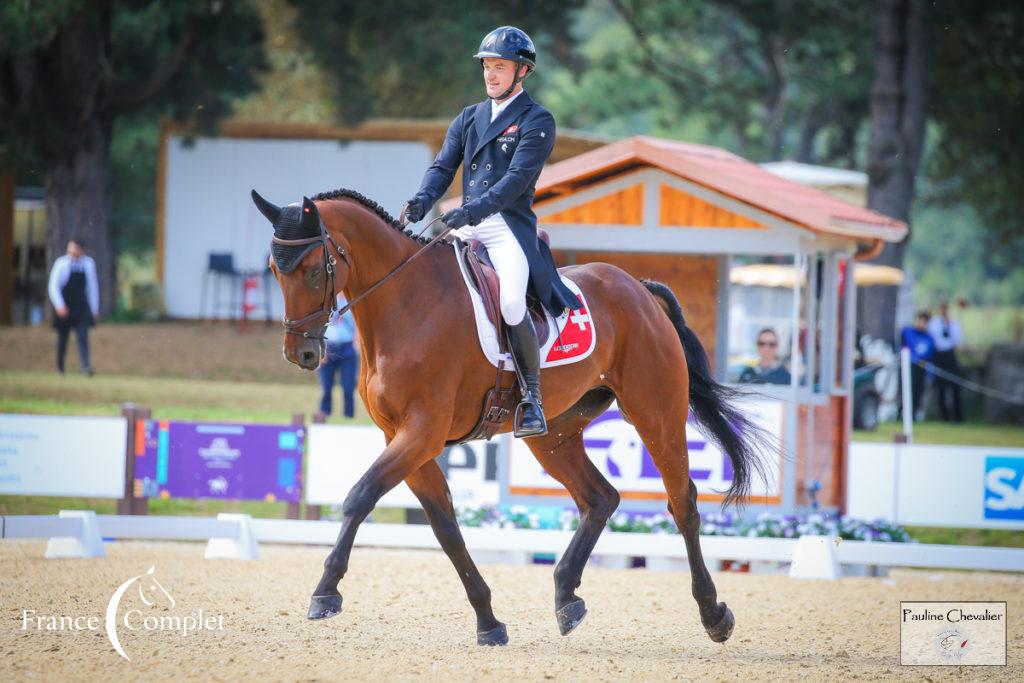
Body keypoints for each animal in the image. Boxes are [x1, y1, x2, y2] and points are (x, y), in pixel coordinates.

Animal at [253, 187, 770, 647]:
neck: (406, 303)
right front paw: (489, 621)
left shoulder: (421, 432)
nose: (301, 353)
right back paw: (567, 599)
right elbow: (446, 529)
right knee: (599, 498)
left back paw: (713, 614)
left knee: (682, 503)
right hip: (553, 435)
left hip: (656, 413)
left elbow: (360, 496)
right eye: (274, 270)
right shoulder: (403, 437)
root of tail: (638, 288)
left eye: (313, 270)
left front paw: (325, 593)